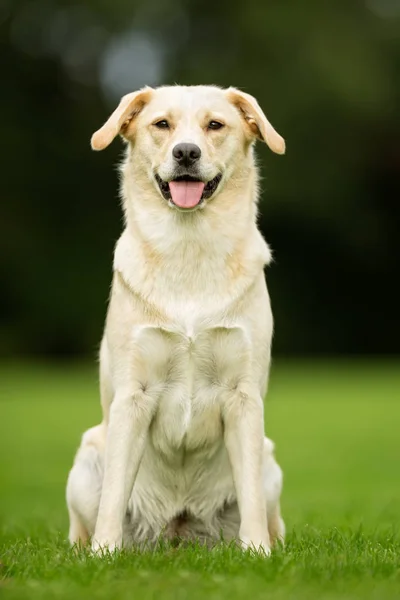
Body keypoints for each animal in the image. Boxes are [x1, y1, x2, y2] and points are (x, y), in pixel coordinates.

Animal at [66, 83, 284, 552]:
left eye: (215, 125)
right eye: (161, 124)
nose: (186, 152)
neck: (189, 248)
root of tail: (177, 529)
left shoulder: (242, 397)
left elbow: (251, 500)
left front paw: (257, 553)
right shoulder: (134, 395)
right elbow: (114, 496)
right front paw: (104, 554)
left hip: (269, 458)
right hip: (86, 460)